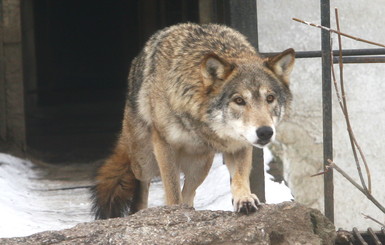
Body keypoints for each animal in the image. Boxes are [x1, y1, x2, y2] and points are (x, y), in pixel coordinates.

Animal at [91, 22, 294, 218]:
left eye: (270, 98)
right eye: (239, 100)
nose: (265, 132)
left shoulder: (238, 145)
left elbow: (240, 177)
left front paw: (244, 199)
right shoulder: (164, 145)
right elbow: (172, 191)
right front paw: (173, 211)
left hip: (200, 166)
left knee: (189, 193)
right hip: (144, 161)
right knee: (141, 190)